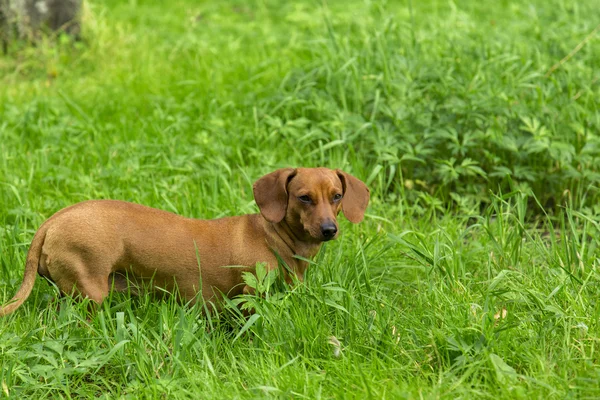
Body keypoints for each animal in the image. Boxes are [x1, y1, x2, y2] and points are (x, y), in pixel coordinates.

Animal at [0, 167, 368, 314]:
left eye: (336, 196)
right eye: (304, 198)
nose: (329, 229)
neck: (274, 238)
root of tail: (51, 222)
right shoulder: (252, 296)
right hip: (90, 293)